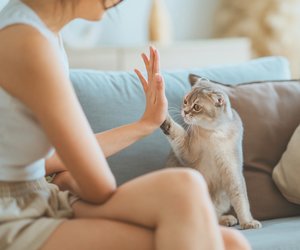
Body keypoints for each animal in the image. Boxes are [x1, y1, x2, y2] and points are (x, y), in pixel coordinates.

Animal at [161, 76, 262, 230]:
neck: (215, 133)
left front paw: (247, 222)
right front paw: (164, 118)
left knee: (213, 214)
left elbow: (241, 200)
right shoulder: (187, 152)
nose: (185, 112)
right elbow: (175, 130)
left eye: (196, 107)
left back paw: (227, 219)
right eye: (185, 101)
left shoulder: (232, 170)